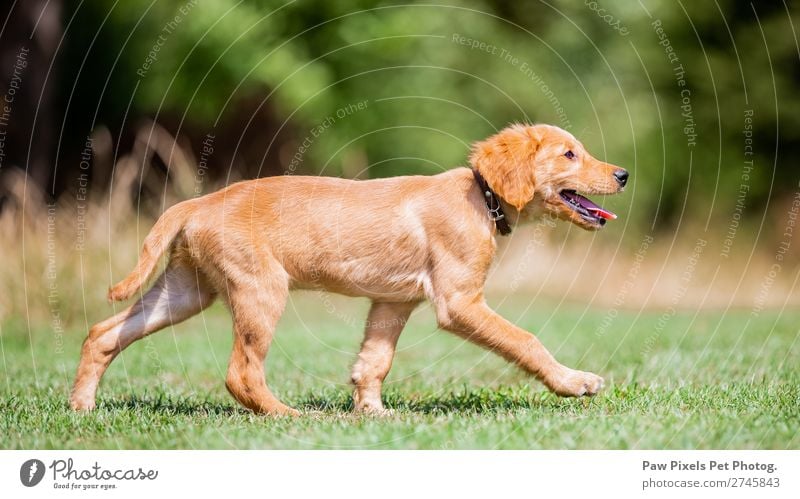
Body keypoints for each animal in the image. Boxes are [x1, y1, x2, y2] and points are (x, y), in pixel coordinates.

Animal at [72, 123, 628, 416]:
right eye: (569, 154)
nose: (623, 174)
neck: (482, 197)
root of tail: (196, 203)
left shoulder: (394, 301)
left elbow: (374, 361)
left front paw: (373, 414)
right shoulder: (458, 301)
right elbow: (526, 340)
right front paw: (574, 382)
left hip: (186, 290)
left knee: (102, 333)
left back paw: (81, 406)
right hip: (260, 288)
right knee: (240, 372)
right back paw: (287, 416)